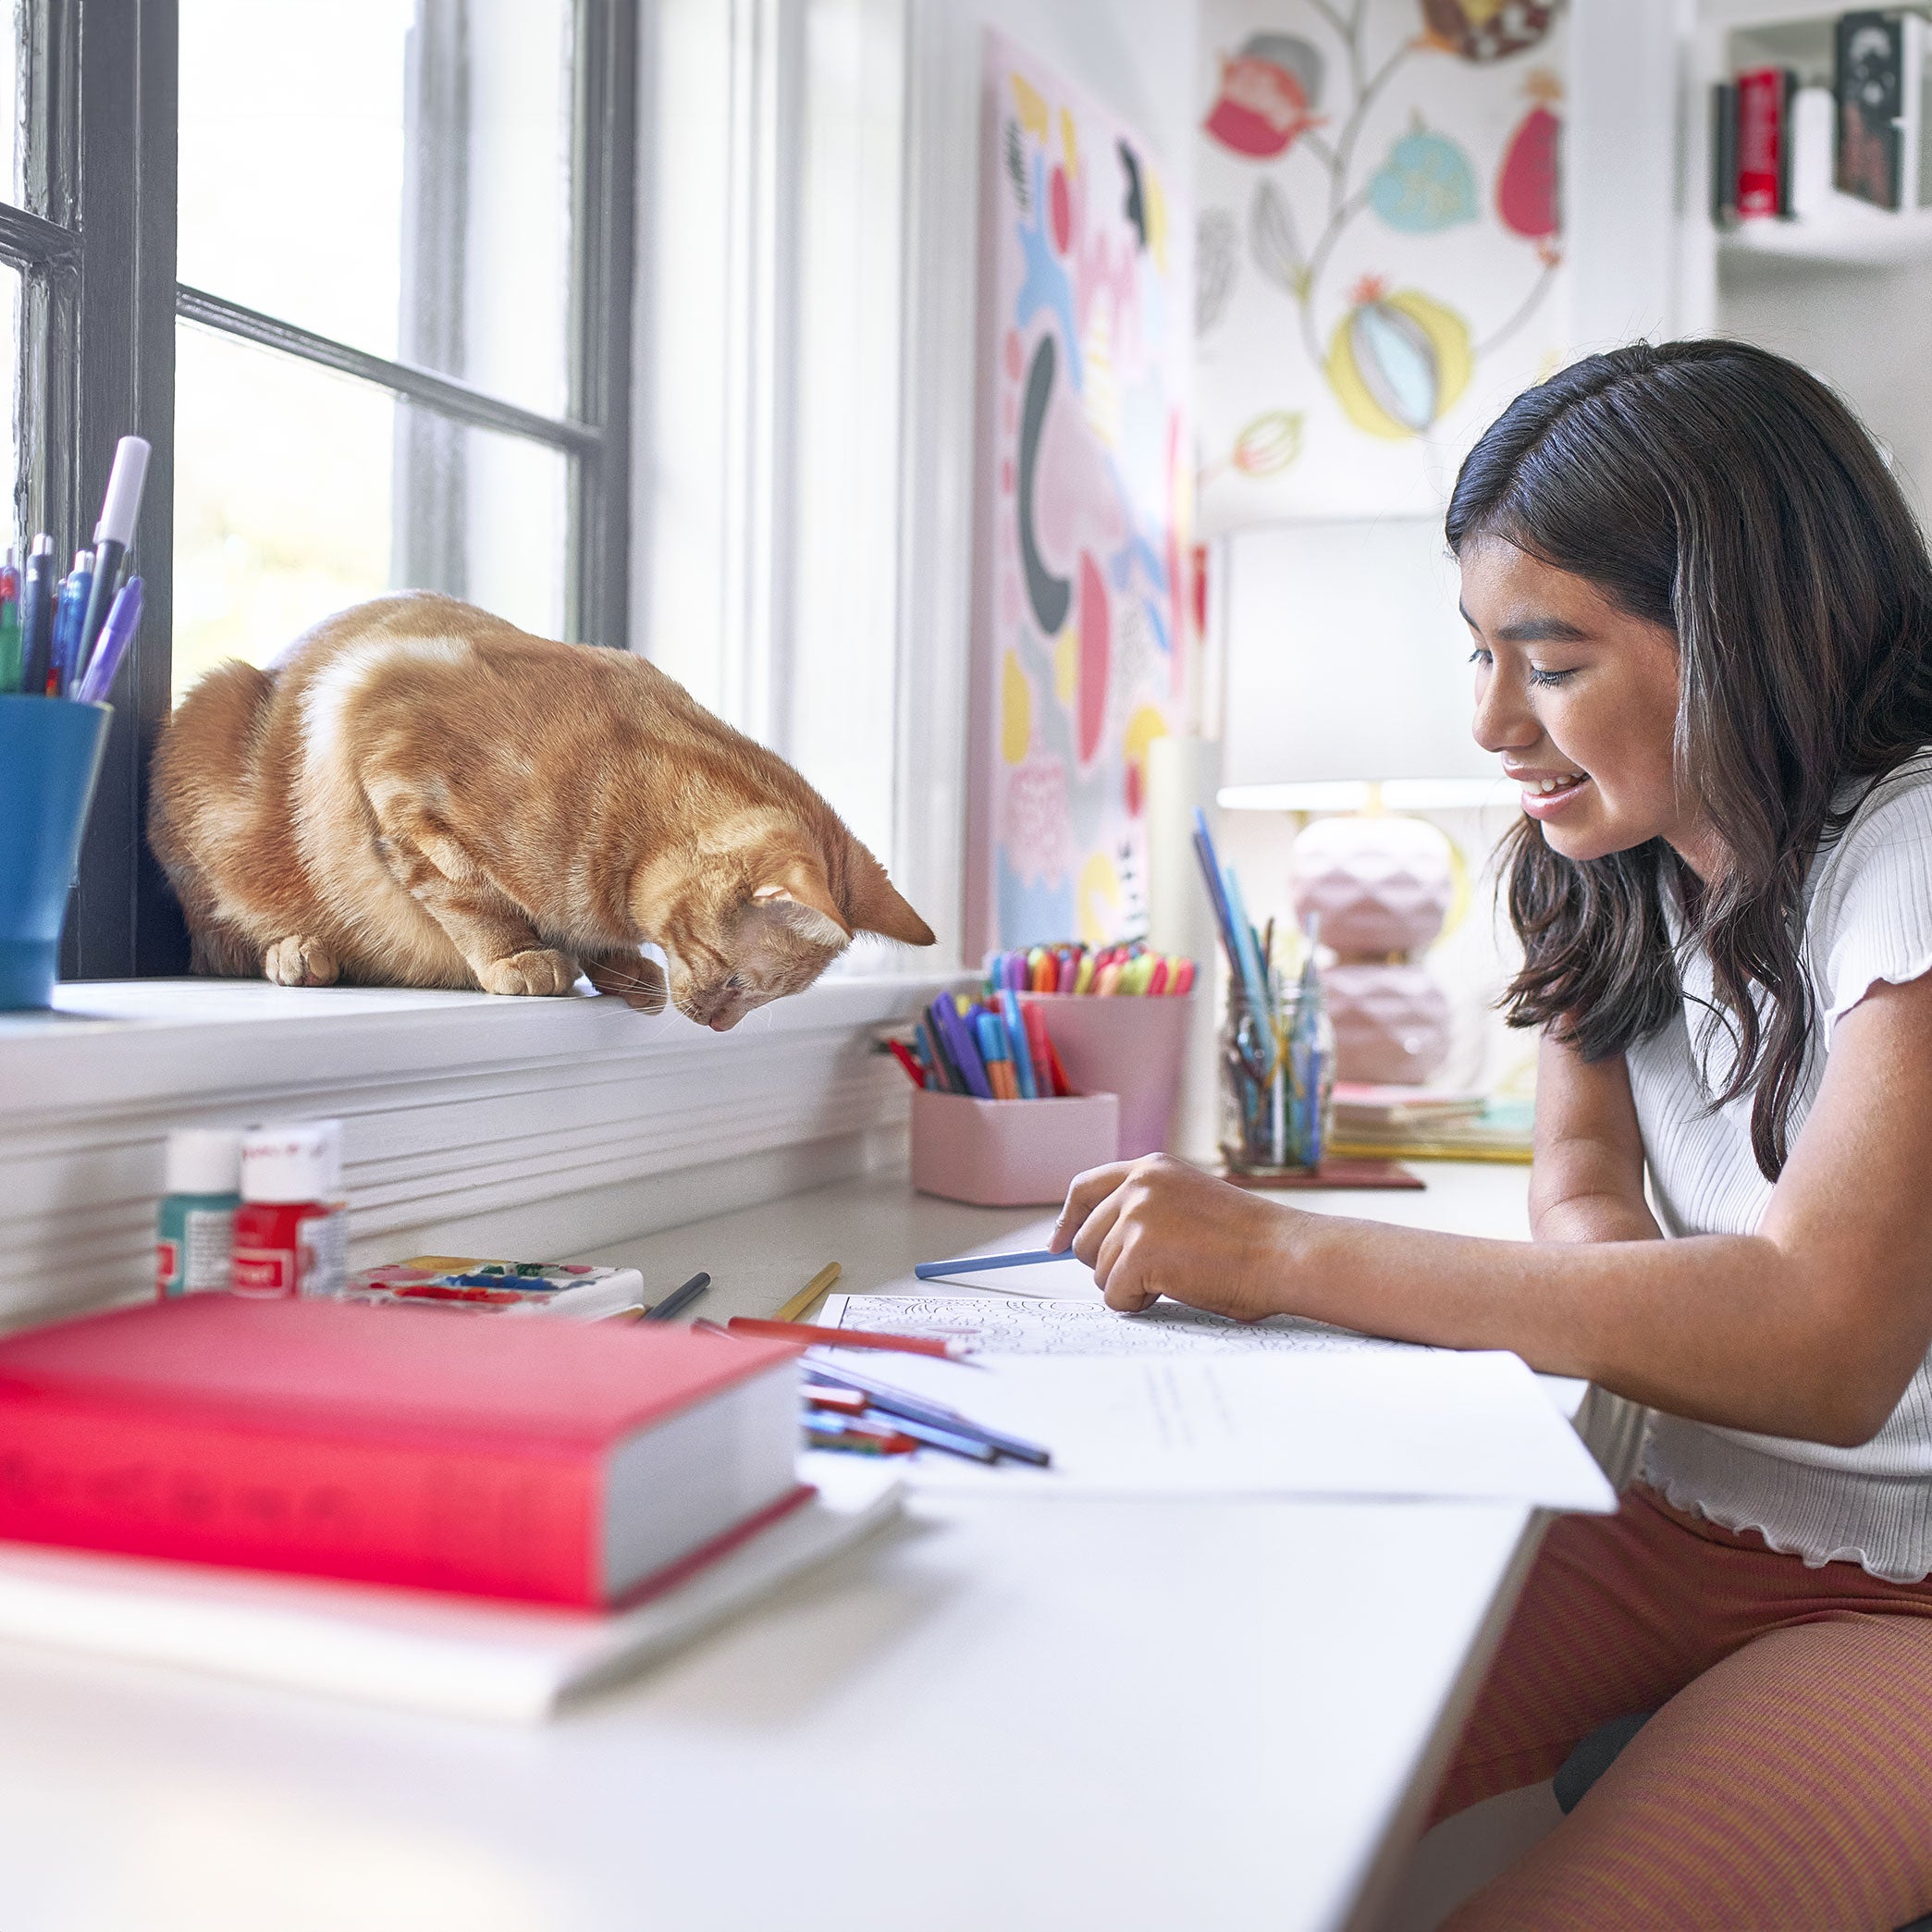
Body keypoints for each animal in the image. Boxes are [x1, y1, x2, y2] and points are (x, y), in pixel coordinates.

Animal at [146, 595, 930, 1035]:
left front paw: (621, 968)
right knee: (224, 939)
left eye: (759, 998)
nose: (719, 1028)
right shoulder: (387, 742)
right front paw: (517, 956)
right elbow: (470, 899)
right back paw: (297, 951)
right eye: (740, 984)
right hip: (211, 728)